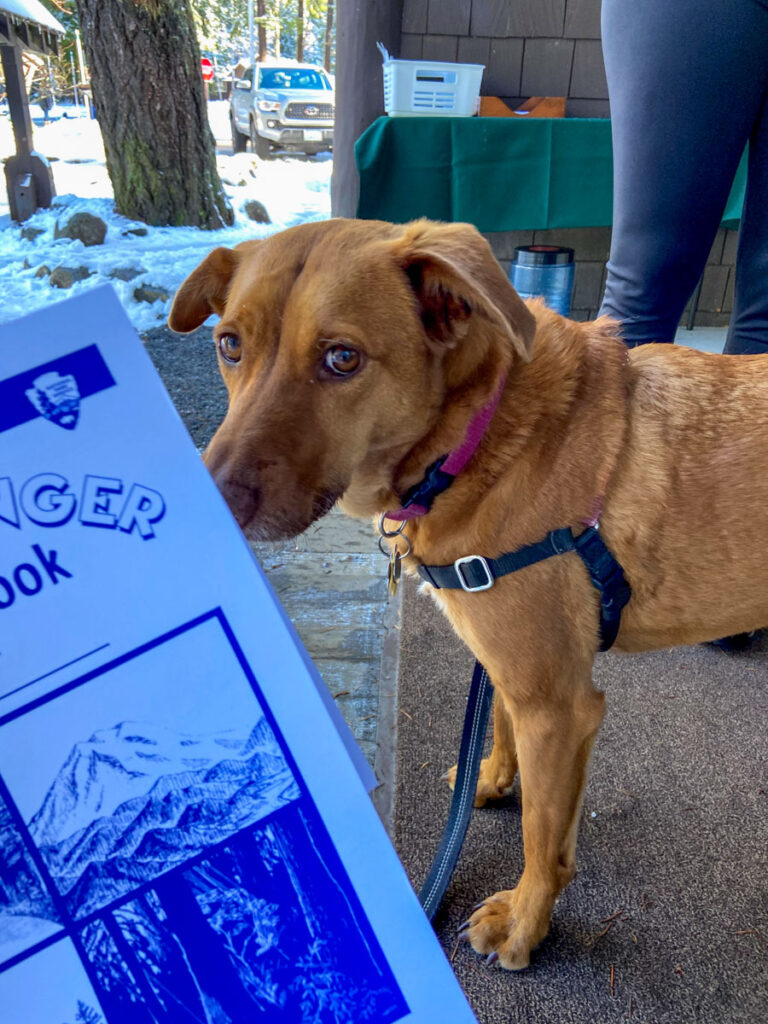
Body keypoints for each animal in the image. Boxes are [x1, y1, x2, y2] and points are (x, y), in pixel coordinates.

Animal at [167, 216, 768, 966]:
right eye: (229, 345)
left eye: (342, 358)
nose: (211, 501)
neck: (476, 436)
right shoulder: (512, 673)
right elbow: (502, 728)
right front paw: (492, 780)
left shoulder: (560, 706)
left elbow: (543, 836)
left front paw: (525, 924)